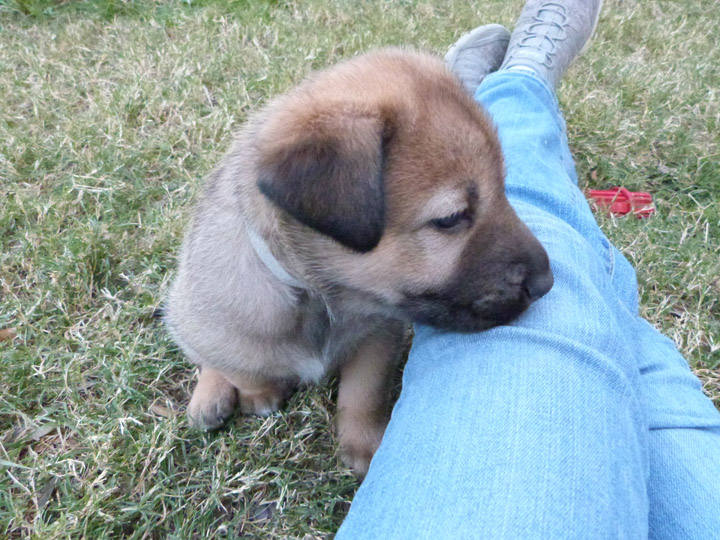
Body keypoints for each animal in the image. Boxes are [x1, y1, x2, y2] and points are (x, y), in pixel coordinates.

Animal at [166, 47, 556, 476]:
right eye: (451, 218)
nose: (546, 283)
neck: (319, 297)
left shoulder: (378, 334)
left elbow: (363, 391)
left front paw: (365, 447)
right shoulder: (216, 326)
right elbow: (242, 369)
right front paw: (260, 392)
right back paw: (210, 396)